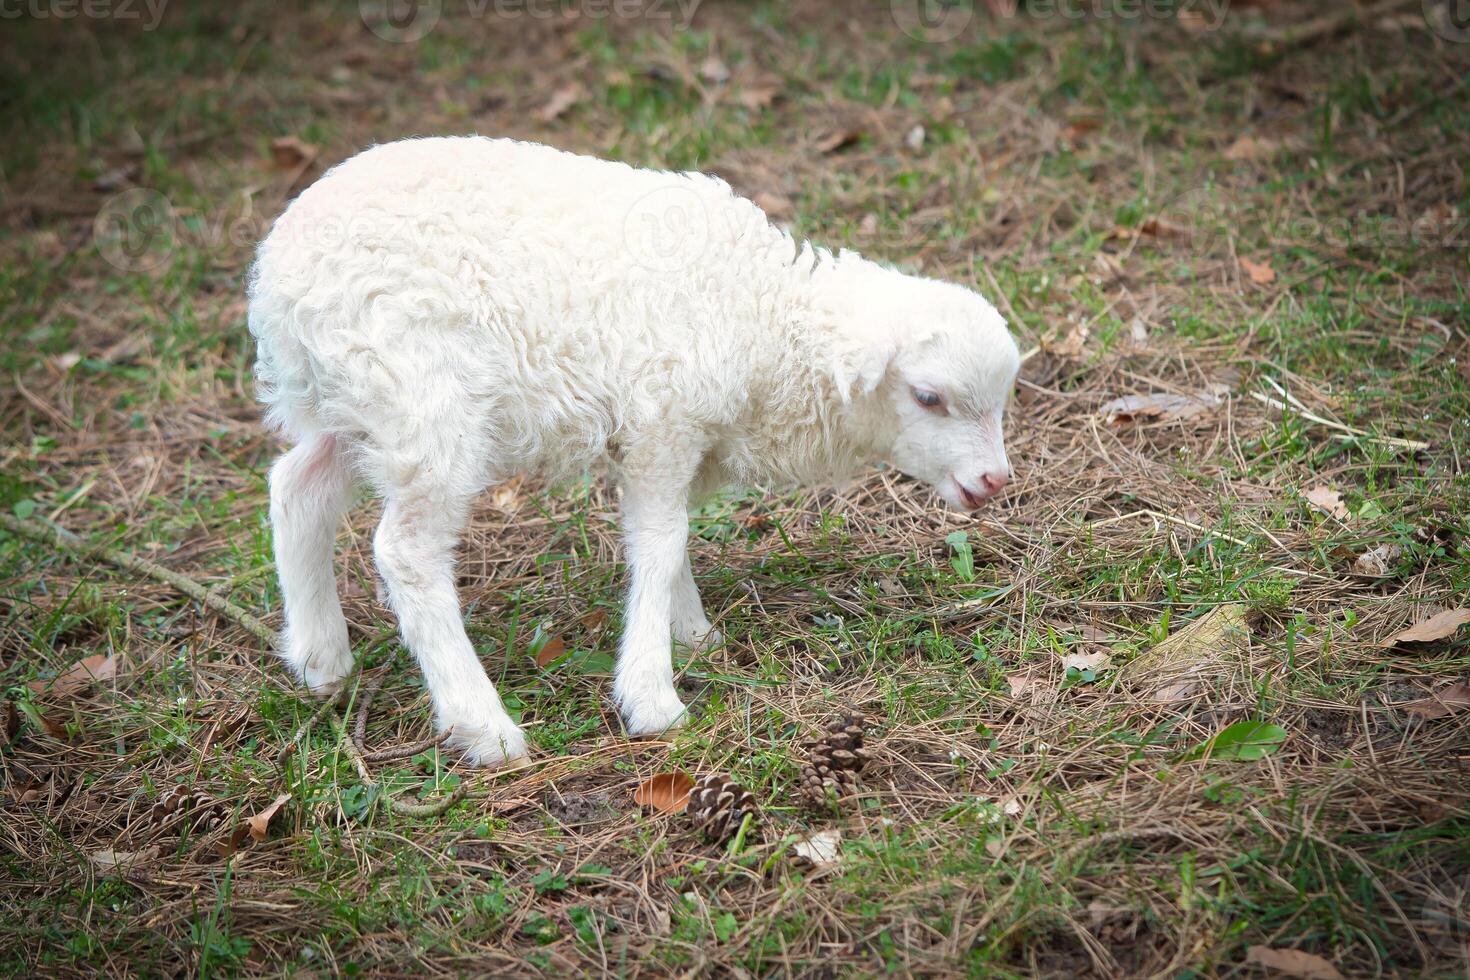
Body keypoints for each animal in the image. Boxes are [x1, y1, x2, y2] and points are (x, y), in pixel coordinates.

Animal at [246, 135, 1017, 764]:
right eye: (928, 397)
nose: (993, 481)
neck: (765, 319)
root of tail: (277, 278)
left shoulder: (673, 437)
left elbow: (667, 536)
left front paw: (693, 632)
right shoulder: (663, 420)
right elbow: (660, 541)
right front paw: (653, 693)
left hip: (357, 400)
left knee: (298, 486)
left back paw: (320, 659)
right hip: (424, 400)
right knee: (406, 552)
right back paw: (484, 726)